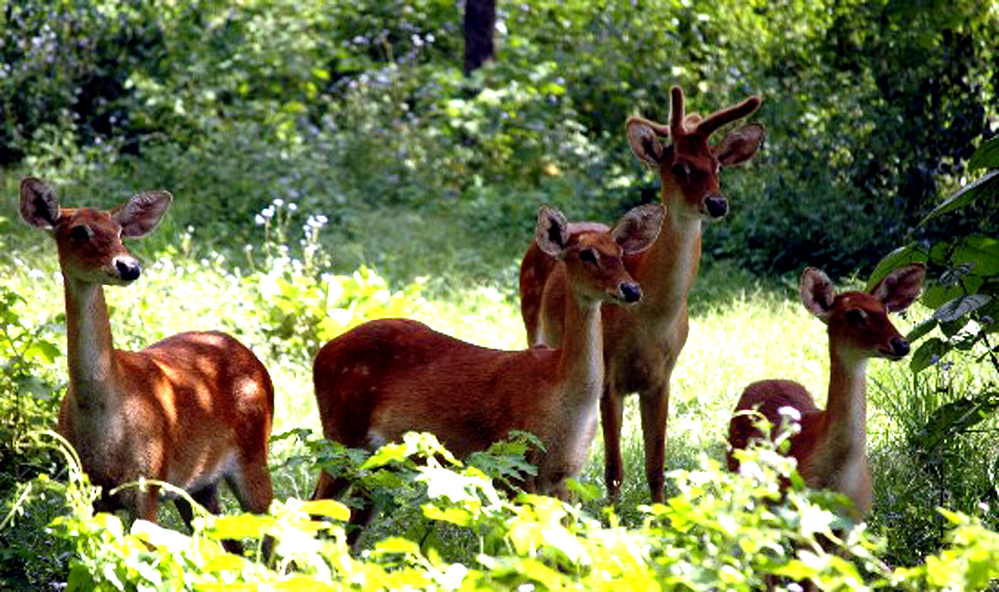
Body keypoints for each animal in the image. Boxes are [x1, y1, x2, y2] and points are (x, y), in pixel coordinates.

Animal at [19, 177, 276, 540]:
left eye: (120, 232)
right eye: (79, 231)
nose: (129, 266)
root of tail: (255, 361)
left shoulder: (147, 484)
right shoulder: (88, 490)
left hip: (255, 453)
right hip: (198, 485)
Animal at [314, 202, 664, 536]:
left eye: (620, 253)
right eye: (586, 254)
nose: (631, 289)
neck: (561, 397)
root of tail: (322, 354)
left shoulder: (566, 474)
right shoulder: (512, 459)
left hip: (380, 460)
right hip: (342, 438)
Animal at [520, 86, 760, 504]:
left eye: (717, 165)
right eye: (679, 166)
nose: (717, 203)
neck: (652, 318)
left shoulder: (662, 377)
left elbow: (656, 465)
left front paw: (660, 514)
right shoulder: (609, 377)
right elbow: (614, 468)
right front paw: (612, 515)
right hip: (529, 317)